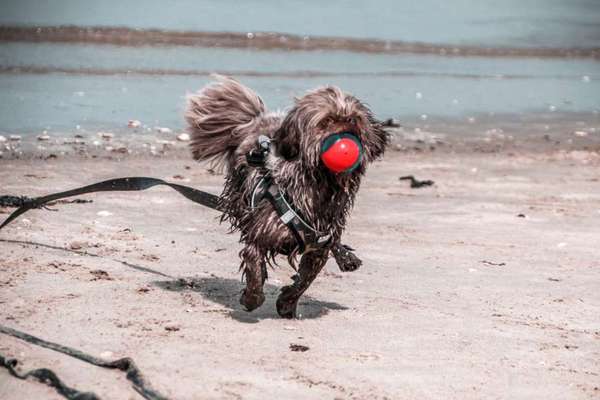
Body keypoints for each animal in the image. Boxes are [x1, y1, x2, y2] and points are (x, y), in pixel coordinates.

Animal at [185, 76, 386, 318]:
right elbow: (255, 268)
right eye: (326, 121)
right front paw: (252, 299)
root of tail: (255, 121)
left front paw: (287, 303)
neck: (321, 186)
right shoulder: (261, 233)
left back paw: (345, 256)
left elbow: (305, 280)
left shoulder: (318, 245)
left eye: (354, 120)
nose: (347, 133)